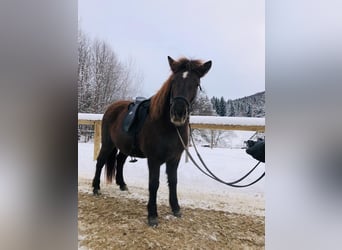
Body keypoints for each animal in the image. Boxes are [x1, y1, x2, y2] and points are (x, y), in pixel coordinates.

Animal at [91, 56, 211, 227]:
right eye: (173, 81)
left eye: (196, 83)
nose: (178, 113)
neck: (168, 126)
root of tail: (111, 107)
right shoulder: (154, 160)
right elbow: (154, 184)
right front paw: (152, 215)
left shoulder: (174, 159)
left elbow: (173, 181)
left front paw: (176, 208)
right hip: (108, 144)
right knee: (100, 162)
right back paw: (96, 188)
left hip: (125, 147)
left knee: (119, 161)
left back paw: (122, 184)